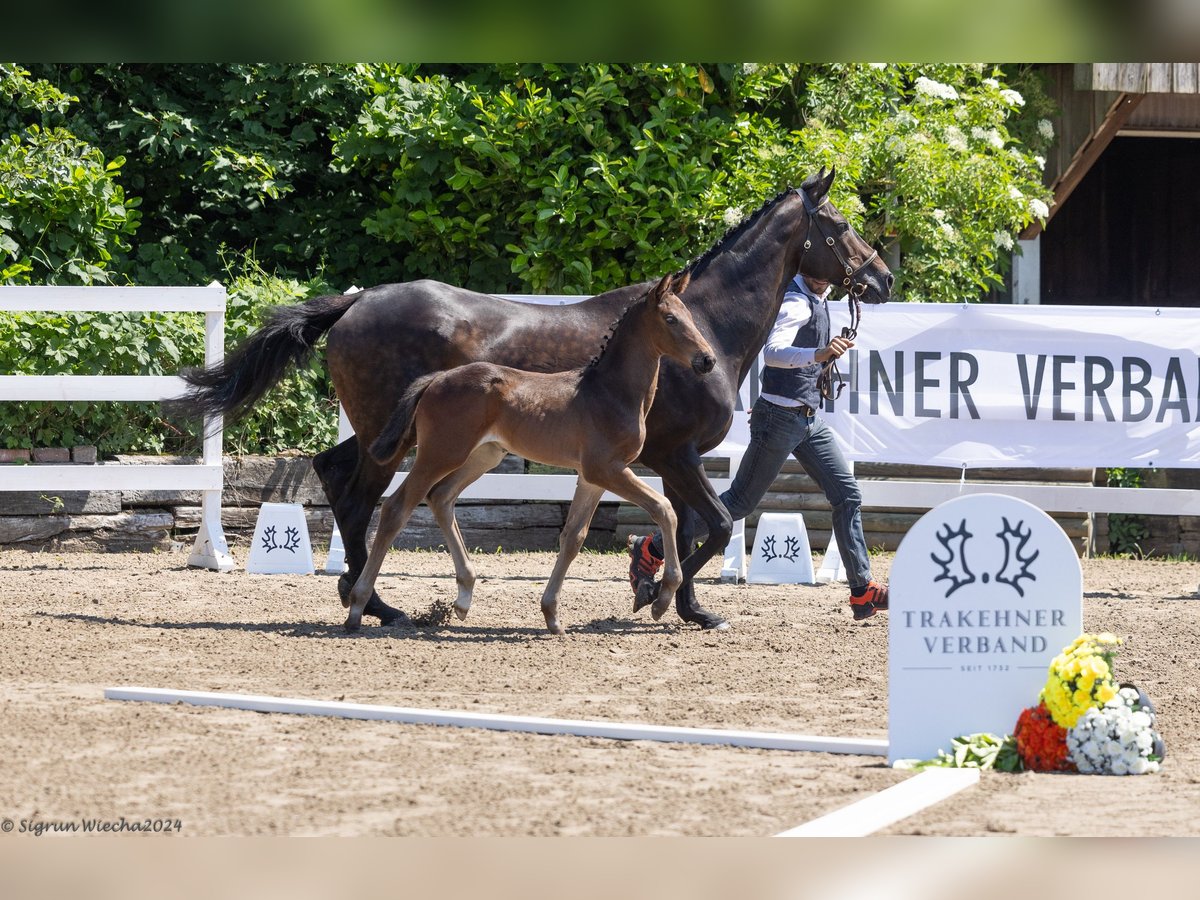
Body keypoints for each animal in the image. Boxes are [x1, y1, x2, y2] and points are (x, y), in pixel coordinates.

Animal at [343, 274, 710, 633]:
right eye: (671, 319)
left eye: (691, 317)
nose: (707, 360)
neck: (611, 392)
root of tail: (436, 379)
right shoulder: (607, 468)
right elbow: (665, 510)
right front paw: (662, 599)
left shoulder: (592, 477)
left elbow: (573, 537)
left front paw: (552, 615)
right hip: (440, 453)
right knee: (396, 508)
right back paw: (358, 607)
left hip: (483, 455)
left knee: (441, 497)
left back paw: (463, 598)